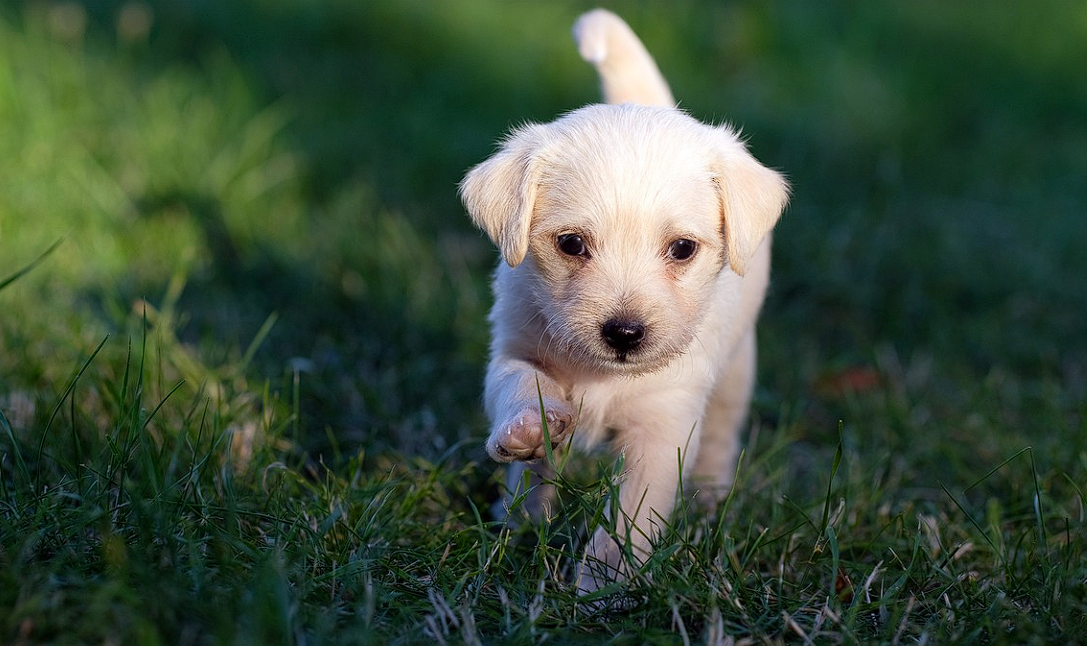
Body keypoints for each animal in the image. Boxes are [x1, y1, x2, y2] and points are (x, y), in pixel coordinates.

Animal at [458, 8, 791, 587]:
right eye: (571, 244)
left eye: (682, 248)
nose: (625, 333)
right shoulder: (515, 347)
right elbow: (520, 385)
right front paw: (529, 428)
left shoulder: (663, 427)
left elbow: (628, 521)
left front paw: (602, 587)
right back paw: (519, 518)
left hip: (736, 373)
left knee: (722, 436)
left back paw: (709, 499)